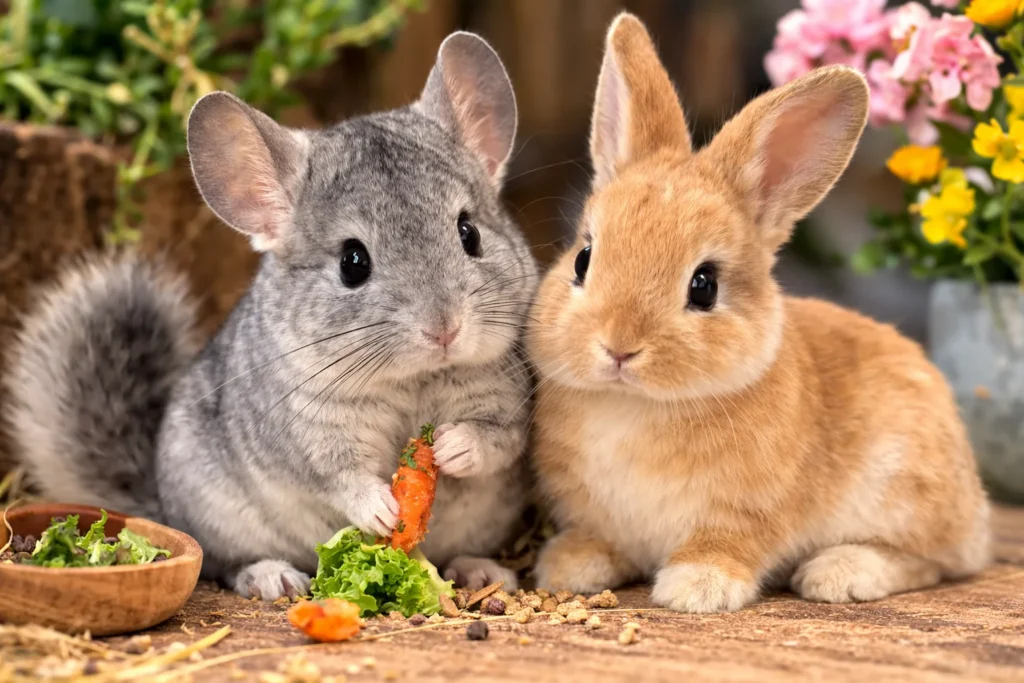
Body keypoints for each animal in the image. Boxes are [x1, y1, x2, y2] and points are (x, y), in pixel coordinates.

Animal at [6, 32, 537, 599]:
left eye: (469, 233)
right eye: (353, 262)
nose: (445, 330)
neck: (413, 381)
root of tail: (161, 503)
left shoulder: (510, 399)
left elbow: (499, 439)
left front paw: (455, 448)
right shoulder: (309, 435)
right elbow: (337, 477)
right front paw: (381, 508)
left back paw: (482, 569)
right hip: (217, 513)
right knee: (224, 564)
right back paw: (273, 577)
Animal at [525, 13, 991, 613]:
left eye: (704, 286)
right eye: (583, 259)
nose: (618, 347)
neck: (635, 403)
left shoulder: (747, 514)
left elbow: (727, 544)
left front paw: (697, 588)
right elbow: (600, 538)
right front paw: (568, 566)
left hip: (906, 490)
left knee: (934, 561)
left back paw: (840, 573)